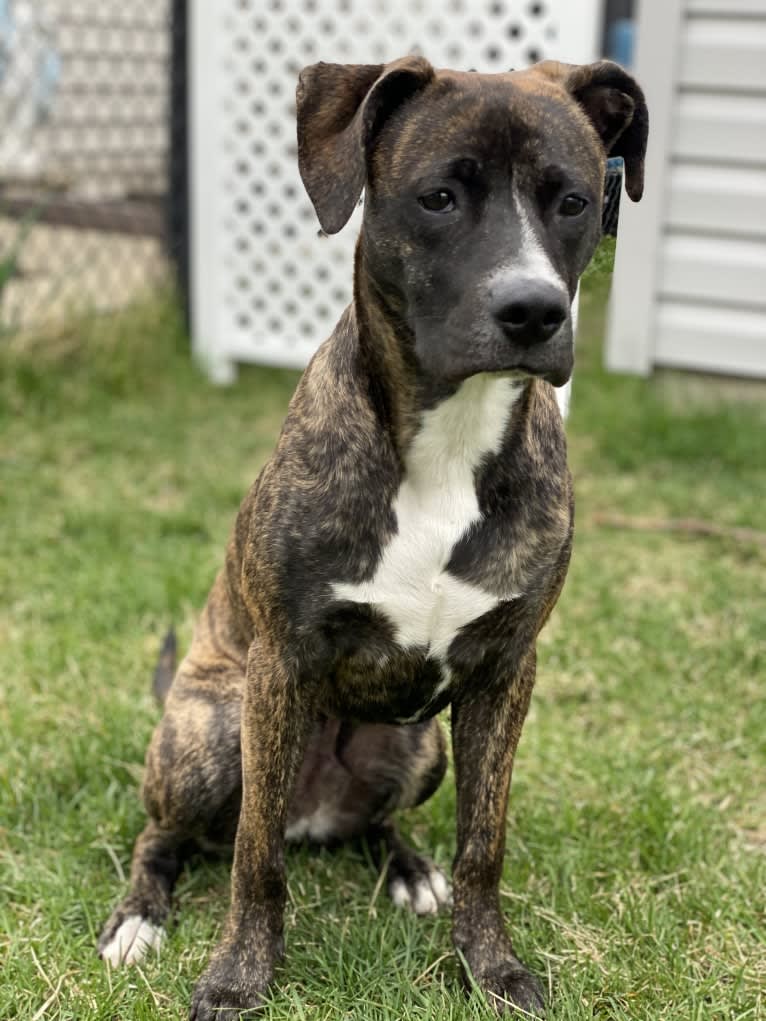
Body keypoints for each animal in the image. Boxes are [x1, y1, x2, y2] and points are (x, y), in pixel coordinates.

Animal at [96, 57, 649, 1021]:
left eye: (574, 201)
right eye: (439, 197)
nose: (533, 309)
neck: (450, 441)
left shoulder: (506, 672)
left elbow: (484, 843)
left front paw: (490, 966)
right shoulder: (277, 668)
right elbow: (255, 860)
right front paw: (239, 976)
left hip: (419, 746)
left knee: (376, 822)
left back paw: (408, 867)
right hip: (212, 730)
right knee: (172, 834)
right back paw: (140, 915)